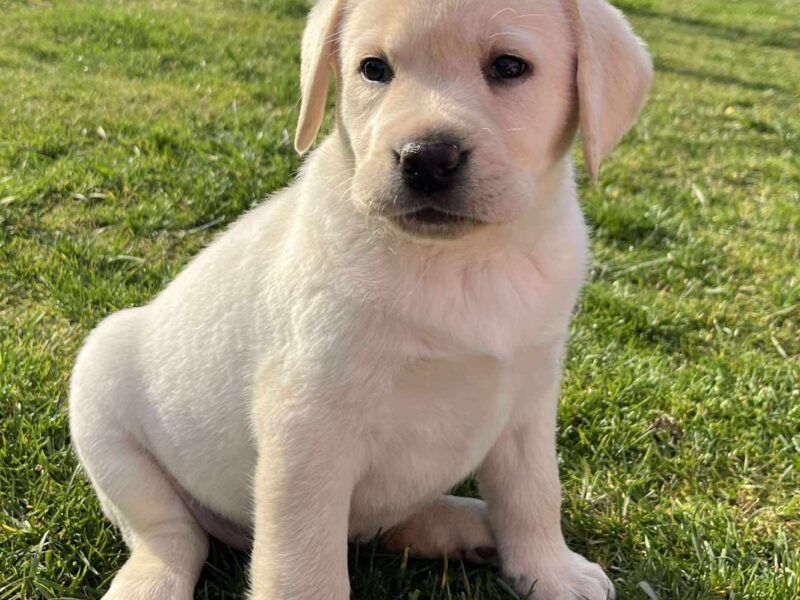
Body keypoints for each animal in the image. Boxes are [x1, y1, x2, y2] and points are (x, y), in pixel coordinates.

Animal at [72, 1, 652, 600]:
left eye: (509, 67)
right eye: (374, 69)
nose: (426, 159)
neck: (462, 261)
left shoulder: (529, 402)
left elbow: (534, 493)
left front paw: (550, 571)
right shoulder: (307, 426)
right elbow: (304, 564)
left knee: (386, 525)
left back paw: (466, 527)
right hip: (102, 402)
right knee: (171, 533)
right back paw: (152, 579)